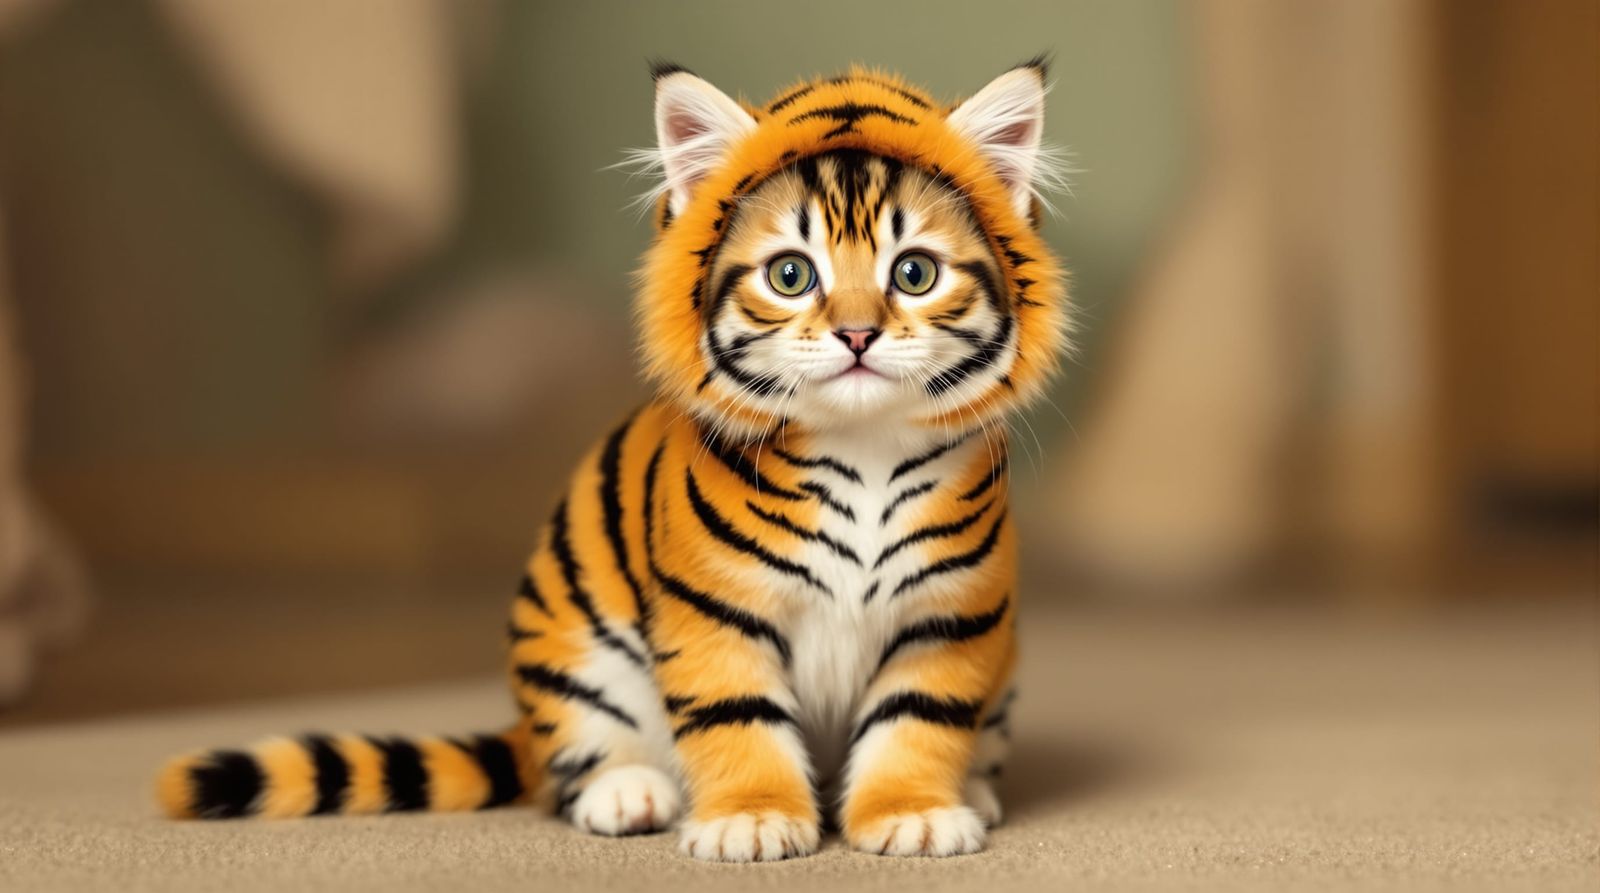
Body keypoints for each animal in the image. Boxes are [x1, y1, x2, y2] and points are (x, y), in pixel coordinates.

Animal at [156, 60, 1069, 862]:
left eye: (913, 273)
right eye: (790, 274)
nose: (855, 334)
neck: (864, 444)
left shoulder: (950, 617)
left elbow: (916, 725)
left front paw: (911, 815)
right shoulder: (716, 614)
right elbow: (738, 721)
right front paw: (751, 820)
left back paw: (975, 792)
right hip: (575, 653)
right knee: (576, 763)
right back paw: (629, 794)